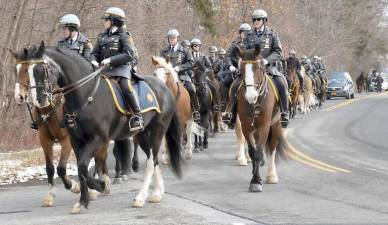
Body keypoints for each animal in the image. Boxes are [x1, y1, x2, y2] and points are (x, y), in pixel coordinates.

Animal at [22, 41, 183, 213]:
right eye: (28, 71)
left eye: (43, 69)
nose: (39, 101)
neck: (84, 94)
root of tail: (165, 88)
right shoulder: (76, 140)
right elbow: (82, 168)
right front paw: (84, 200)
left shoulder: (98, 138)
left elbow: (83, 166)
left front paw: (99, 186)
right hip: (142, 135)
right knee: (153, 160)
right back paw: (157, 194)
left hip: (157, 131)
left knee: (151, 163)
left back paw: (140, 197)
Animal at [232, 46, 290, 192]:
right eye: (241, 69)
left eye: (258, 68)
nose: (250, 96)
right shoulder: (246, 127)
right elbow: (253, 152)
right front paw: (255, 178)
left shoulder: (264, 126)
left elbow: (259, 151)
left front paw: (257, 181)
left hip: (275, 125)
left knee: (273, 147)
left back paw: (272, 175)